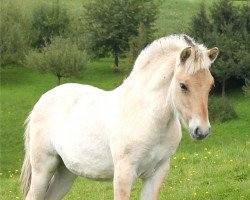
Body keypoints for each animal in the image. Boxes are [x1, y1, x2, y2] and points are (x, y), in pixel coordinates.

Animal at [20, 34, 218, 198]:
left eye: (211, 86)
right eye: (183, 85)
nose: (201, 130)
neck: (147, 116)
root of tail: (40, 102)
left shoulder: (157, 173)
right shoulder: (124, 174)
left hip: (66, 172)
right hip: (43, 169)